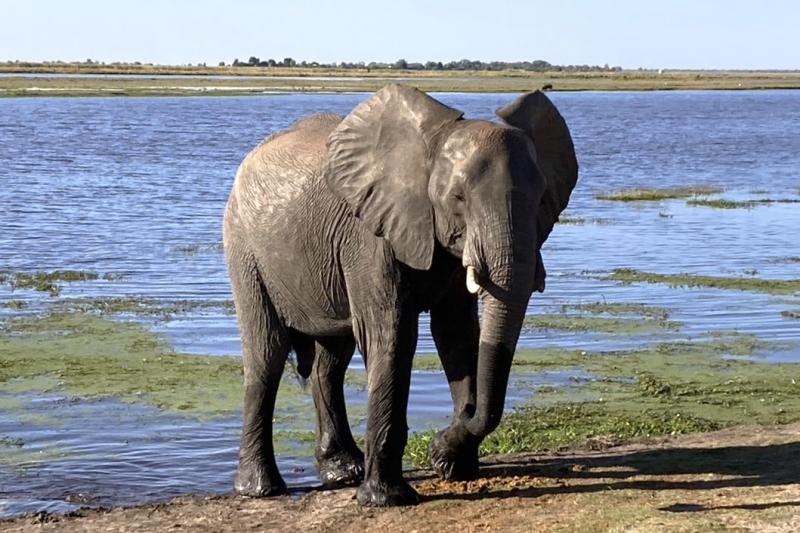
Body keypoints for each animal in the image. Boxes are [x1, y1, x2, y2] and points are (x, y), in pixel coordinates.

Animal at [222, 81, 580, 504]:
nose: (438, 447)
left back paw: (343, 471)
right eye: (458, 197)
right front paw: (388, 498)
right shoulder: (368, 237)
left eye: (541, 197)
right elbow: (391, 336)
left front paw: (453, 466)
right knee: (267, 354)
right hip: (244, 247)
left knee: (331, 360)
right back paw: (261, 489)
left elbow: (458, 336)